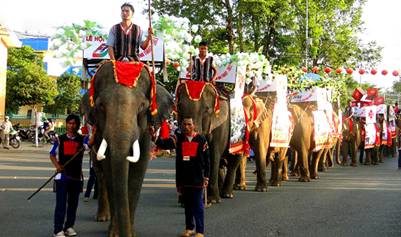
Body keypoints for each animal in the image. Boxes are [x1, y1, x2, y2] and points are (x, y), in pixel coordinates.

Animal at [82, 61, 173, 237]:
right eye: (101, 106)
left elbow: (138, 170)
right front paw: (115, 233)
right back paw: (102, 218)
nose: (125, 233)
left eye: (142, 106)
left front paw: (130, 233)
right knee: (101, 176)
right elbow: (110, 170)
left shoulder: (146, 132)